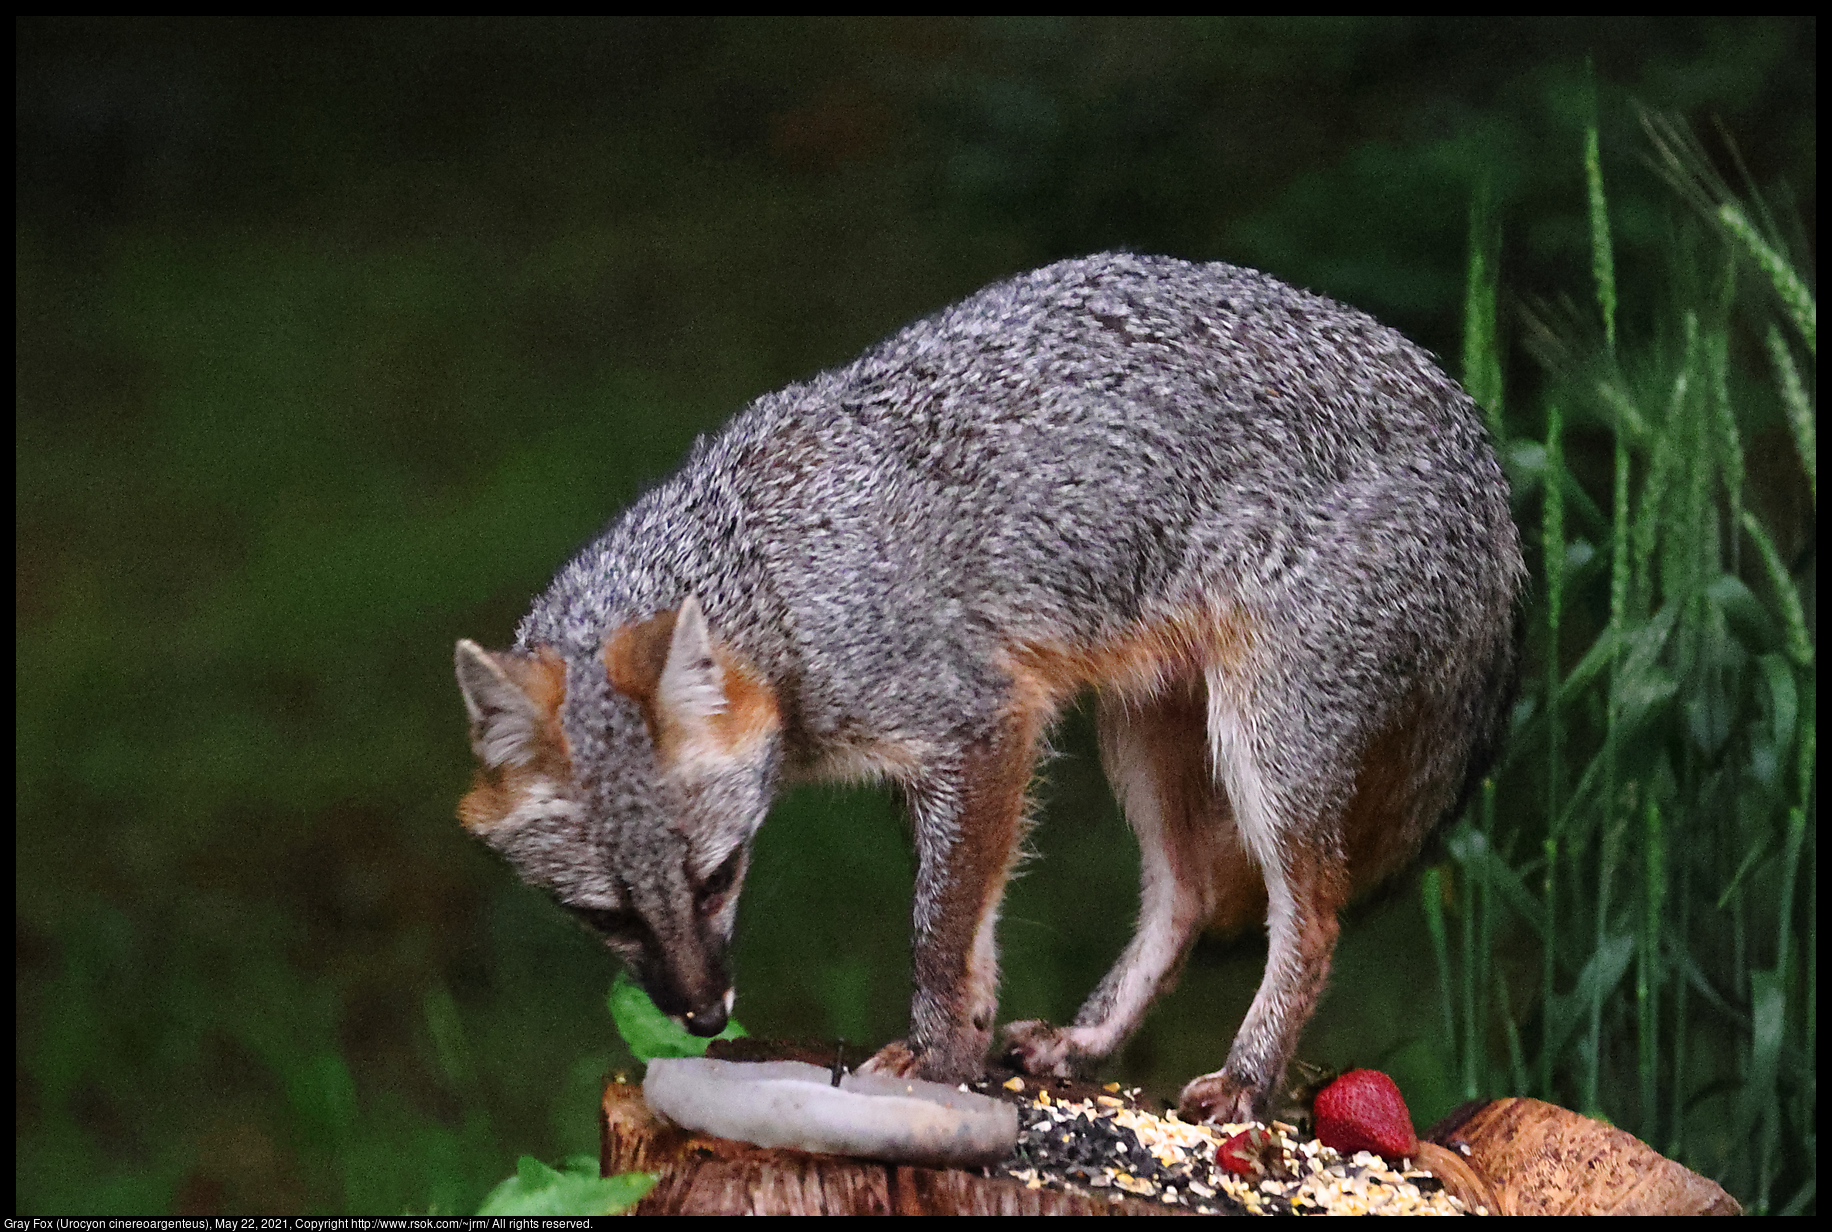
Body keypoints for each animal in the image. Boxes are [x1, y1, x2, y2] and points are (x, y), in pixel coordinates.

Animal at [450, 254, 1524, 1122]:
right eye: (605, 917)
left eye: (718, 877)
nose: (708, 1018)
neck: (775, 586)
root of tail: (1475, 440)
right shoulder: (942, 764)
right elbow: (971, 929)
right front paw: (964, 1039)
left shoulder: (980, 725)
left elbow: (937, 932)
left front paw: (933, 1057)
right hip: (1145, 735)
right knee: (1186, 893)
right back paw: (1092, 1042)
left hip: (1266, 747)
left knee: (1311, 920)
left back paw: (1251, 1078)